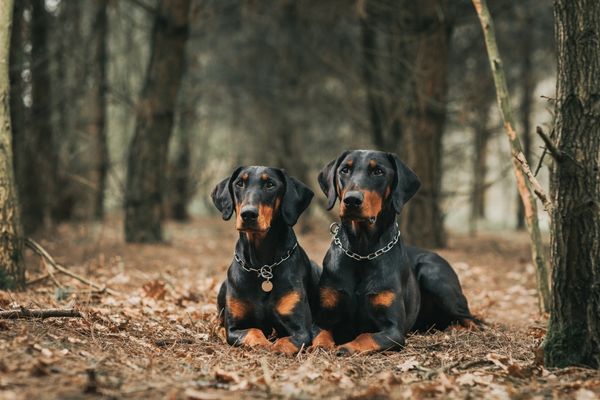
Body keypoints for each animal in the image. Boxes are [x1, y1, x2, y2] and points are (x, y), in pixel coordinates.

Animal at [213, 167, 322, 354]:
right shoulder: (234, 328)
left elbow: (287, 341)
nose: (248, 214)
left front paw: (276, 346)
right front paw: (263, 343)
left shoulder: (301, 329)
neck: (262, 266)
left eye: (270, 184)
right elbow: (253, 330)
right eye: (239, 183)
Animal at [312, 149, 476, 354]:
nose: (352, 200)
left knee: (472, 319)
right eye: (344, 170)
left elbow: (366, 336)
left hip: (433, 275)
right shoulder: (324, 315)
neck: (362, 251)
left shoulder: (394, 329)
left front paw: (346, 347)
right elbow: (320, 333)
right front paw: (322, 346)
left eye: (378, 172)